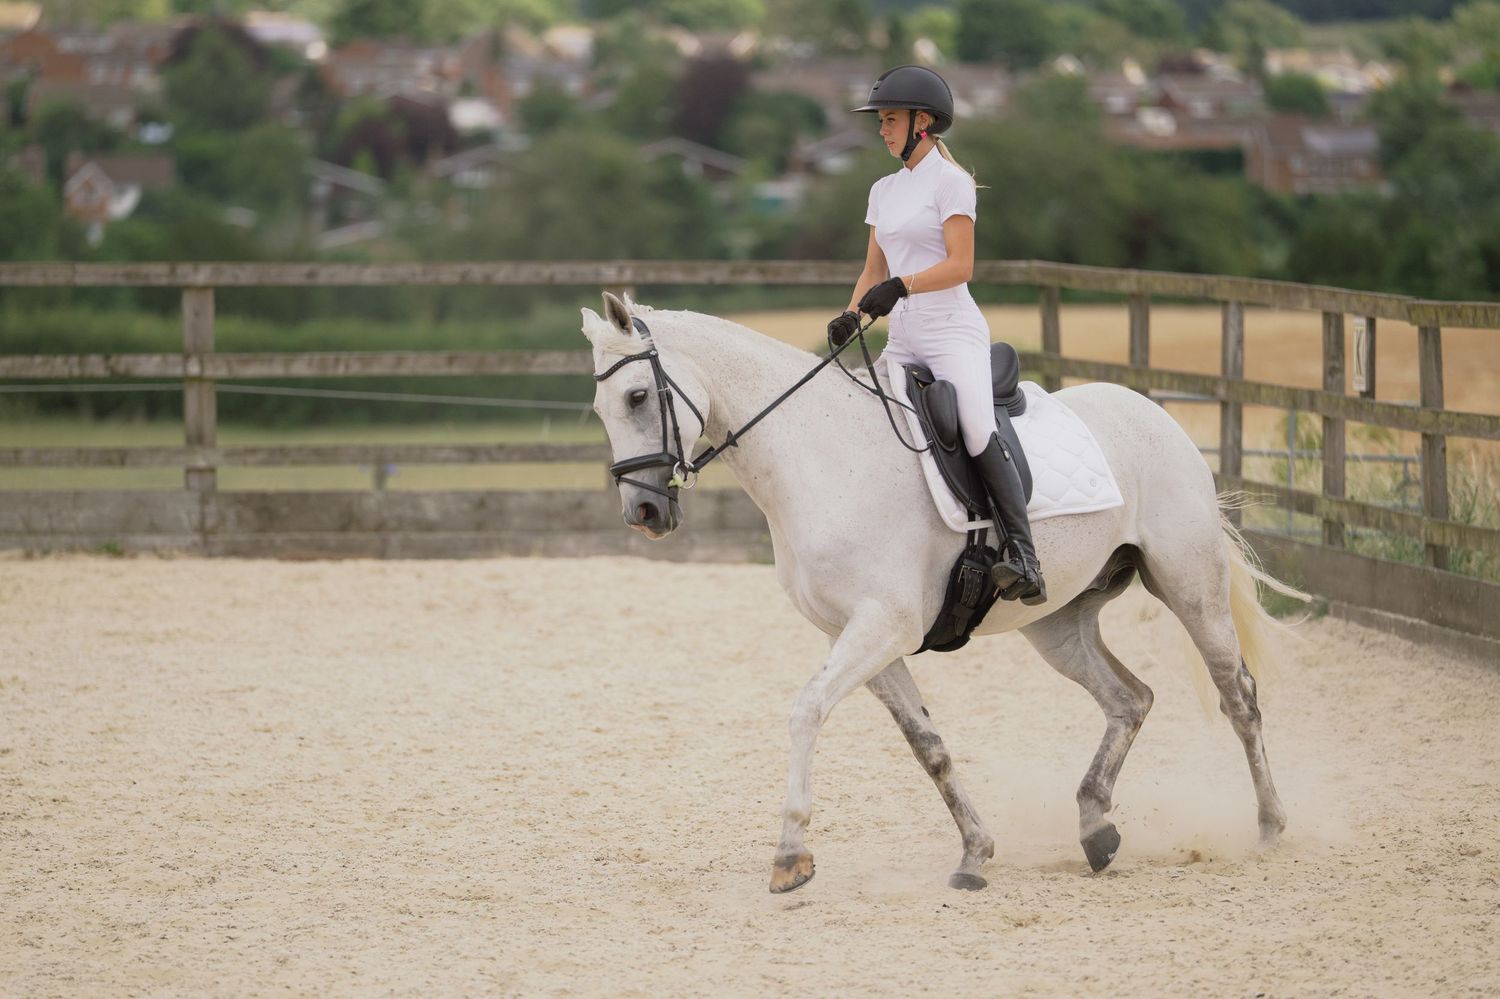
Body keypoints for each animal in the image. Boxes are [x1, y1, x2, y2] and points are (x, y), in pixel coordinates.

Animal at [581, 290, 1297, 894]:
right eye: (600, 409)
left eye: (639, 396)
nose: (644, 513)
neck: (819, 455)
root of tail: (1155, 413)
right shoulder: (862, 637)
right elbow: (929, 747)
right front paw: (975, 855)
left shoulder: (883, 625)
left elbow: (807, 711)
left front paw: (790, 855)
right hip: (1058, 624)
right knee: (1131, 699)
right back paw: (1096, 828)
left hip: (1189, 585)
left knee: (1239, 697)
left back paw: (1271, 828)